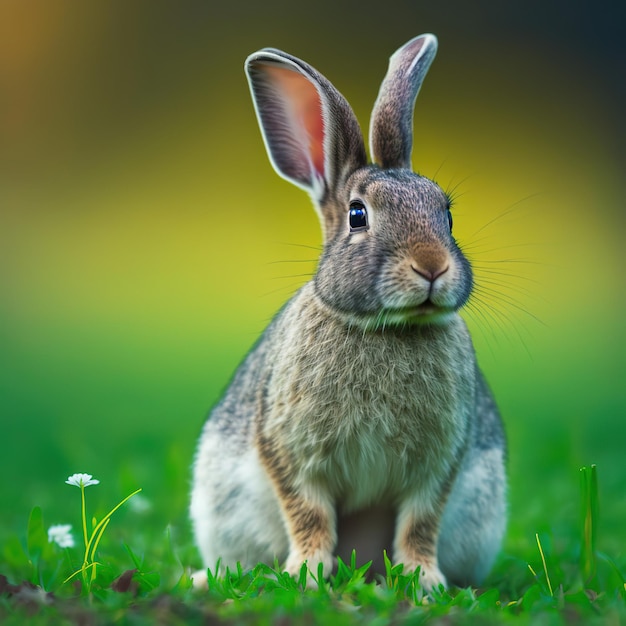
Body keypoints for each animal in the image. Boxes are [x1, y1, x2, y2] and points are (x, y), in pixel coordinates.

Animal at [188, 33, 504, 588]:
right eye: (358, 215)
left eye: (446, 214)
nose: (432, 266)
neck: (387, 328)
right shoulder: (293, 453)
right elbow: (309, 514)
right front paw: (307, 572)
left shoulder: (439, 463)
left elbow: (419, 523)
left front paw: (424, 581)